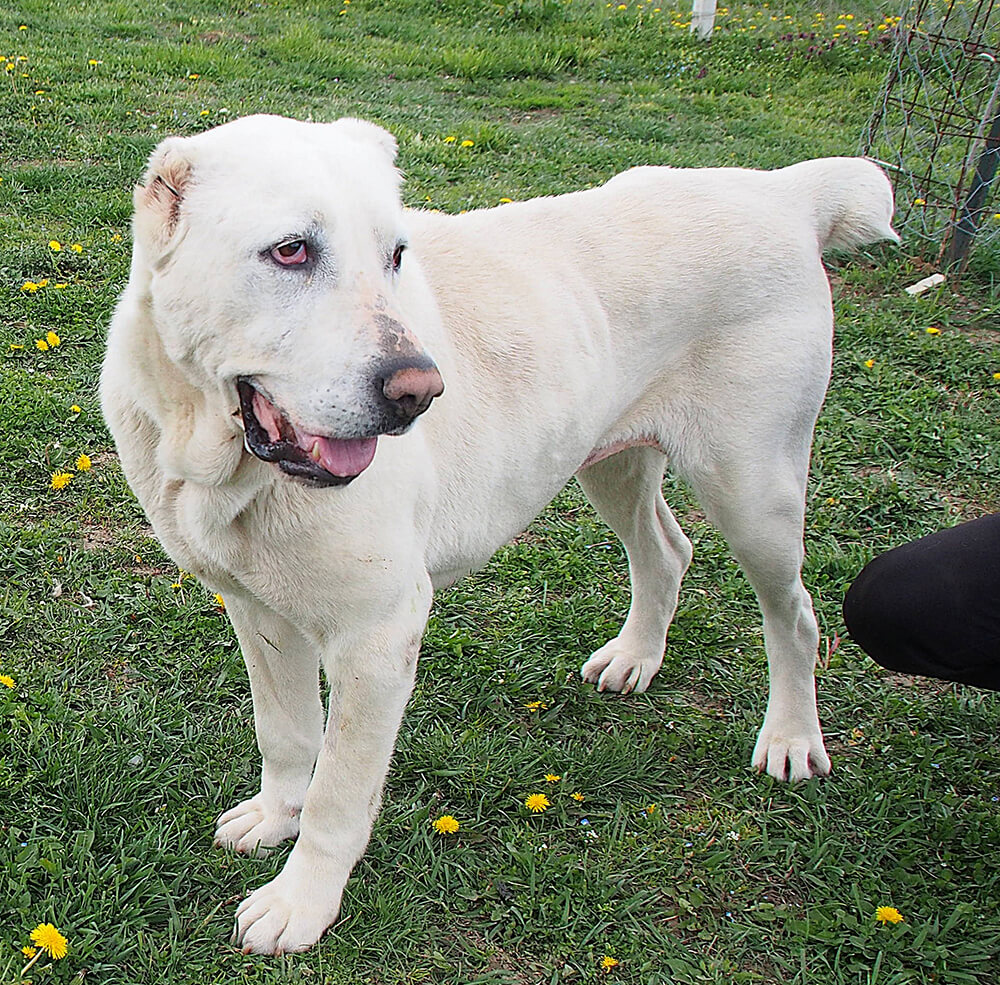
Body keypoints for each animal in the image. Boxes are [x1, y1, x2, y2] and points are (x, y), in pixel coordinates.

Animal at [101, 114, 897, 954]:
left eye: (396, 254)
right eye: (290, 250)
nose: (419, 391)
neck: (221, 453)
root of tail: (781, 189)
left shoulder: (377, 635)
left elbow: (339, 793)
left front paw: (302, 901)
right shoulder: (260, 610)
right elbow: (284, 735)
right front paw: (274, 815)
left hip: (752, 490)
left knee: (794, 614)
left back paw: (790, 738)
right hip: (610, 461)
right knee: (667, 552)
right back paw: (636, 658)